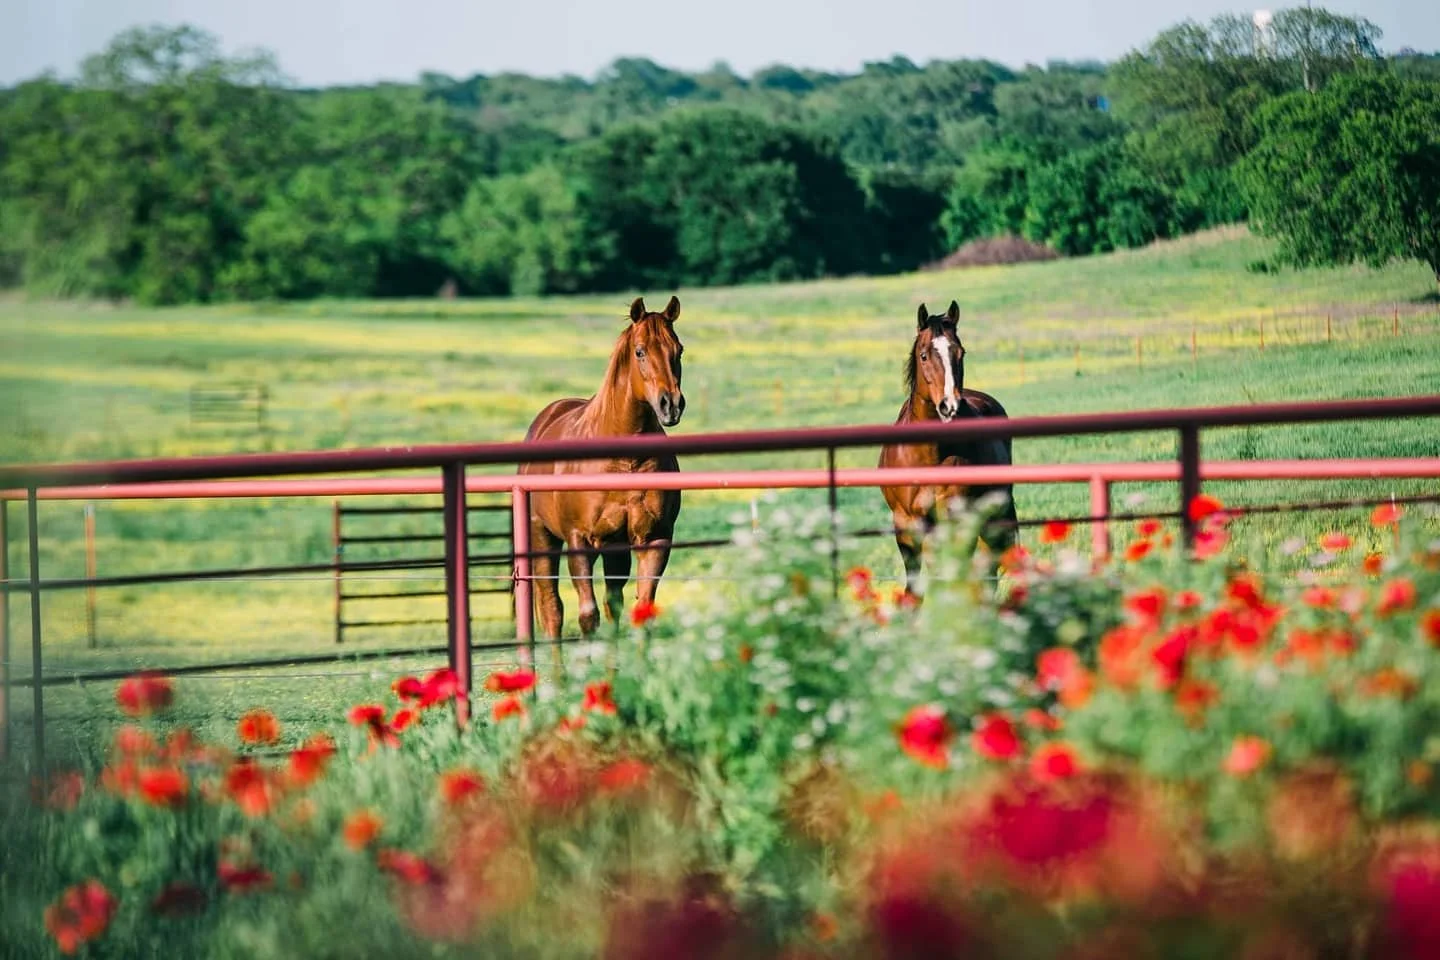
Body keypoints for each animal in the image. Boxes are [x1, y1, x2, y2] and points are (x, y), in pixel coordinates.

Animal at [519, 295, 686, 642]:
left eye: (678, 350)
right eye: (640, 351)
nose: (671, 405)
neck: (624, 462)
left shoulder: (654, 540)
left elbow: (640, 612)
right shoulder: (579, 542)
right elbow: (587, 617)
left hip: (614, 551)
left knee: (613, 607)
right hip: (543, 538)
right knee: (553, 610)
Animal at [879, 300, 1017, 596]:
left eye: (960, 352)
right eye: (924, 356)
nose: (949, 405)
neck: (928, 454)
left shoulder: (956, 517)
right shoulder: (906, 524)